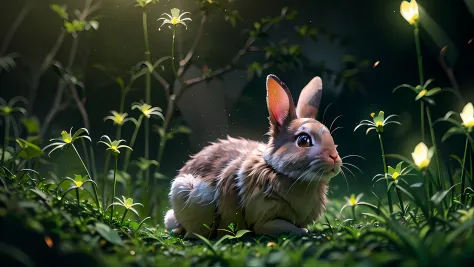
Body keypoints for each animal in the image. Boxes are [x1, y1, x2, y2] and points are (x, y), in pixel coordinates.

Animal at [165, 74, 342, 240]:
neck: (280, 173)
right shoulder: (264, 219)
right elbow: (283, 227)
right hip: (186, 192)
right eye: (303, 140)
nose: (334, 157)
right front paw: (305, 232)